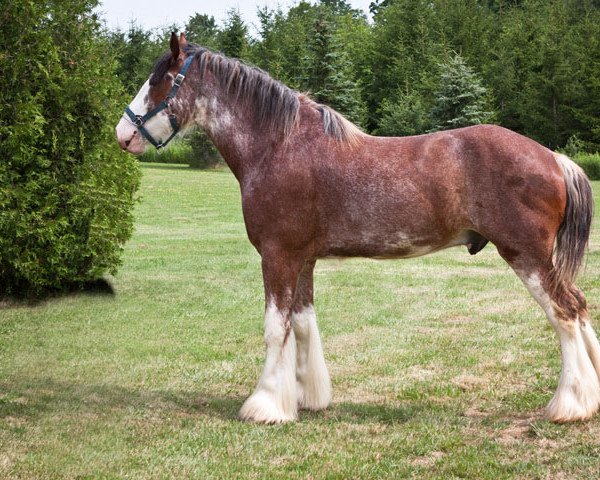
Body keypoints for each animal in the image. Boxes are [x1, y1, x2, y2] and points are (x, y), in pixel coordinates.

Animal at [115, 32, 596, 424]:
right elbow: (302, 324)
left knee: (564, 312)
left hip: (526, 255)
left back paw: (569, 405)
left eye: (160, 80)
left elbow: (275, 327)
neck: (279, 146)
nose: (123, 134)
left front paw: (266, 406)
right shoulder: (303, 259)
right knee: (579, 304)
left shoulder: (277, 255)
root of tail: (555, 159)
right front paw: (306, 398)